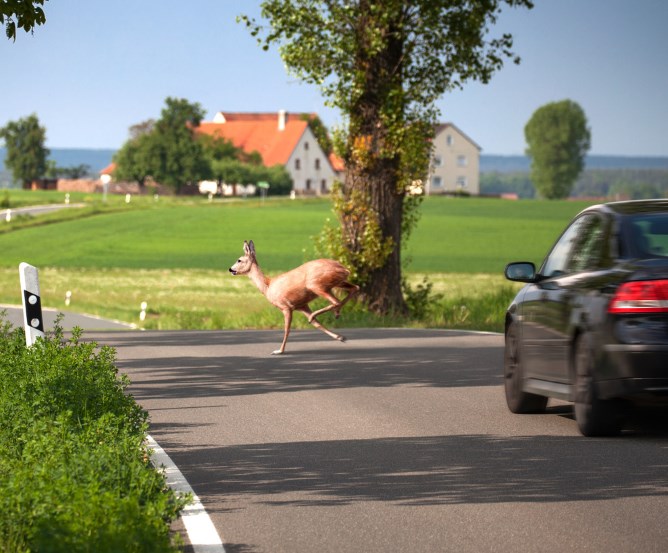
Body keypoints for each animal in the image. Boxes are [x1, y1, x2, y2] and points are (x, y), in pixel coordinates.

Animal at [228, 240, 358, 354]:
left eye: (239, 260)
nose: (230, 269)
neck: (268, 287)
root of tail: (345, 269)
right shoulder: (302, 305)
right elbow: (317, 324)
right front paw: (340, 337)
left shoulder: (285, 306)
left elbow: (287, 329)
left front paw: (279, 351)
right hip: (335, 283)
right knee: (354, 288)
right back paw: (334, 314)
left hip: (316, 285)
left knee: (336, 300)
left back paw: (323, 314)